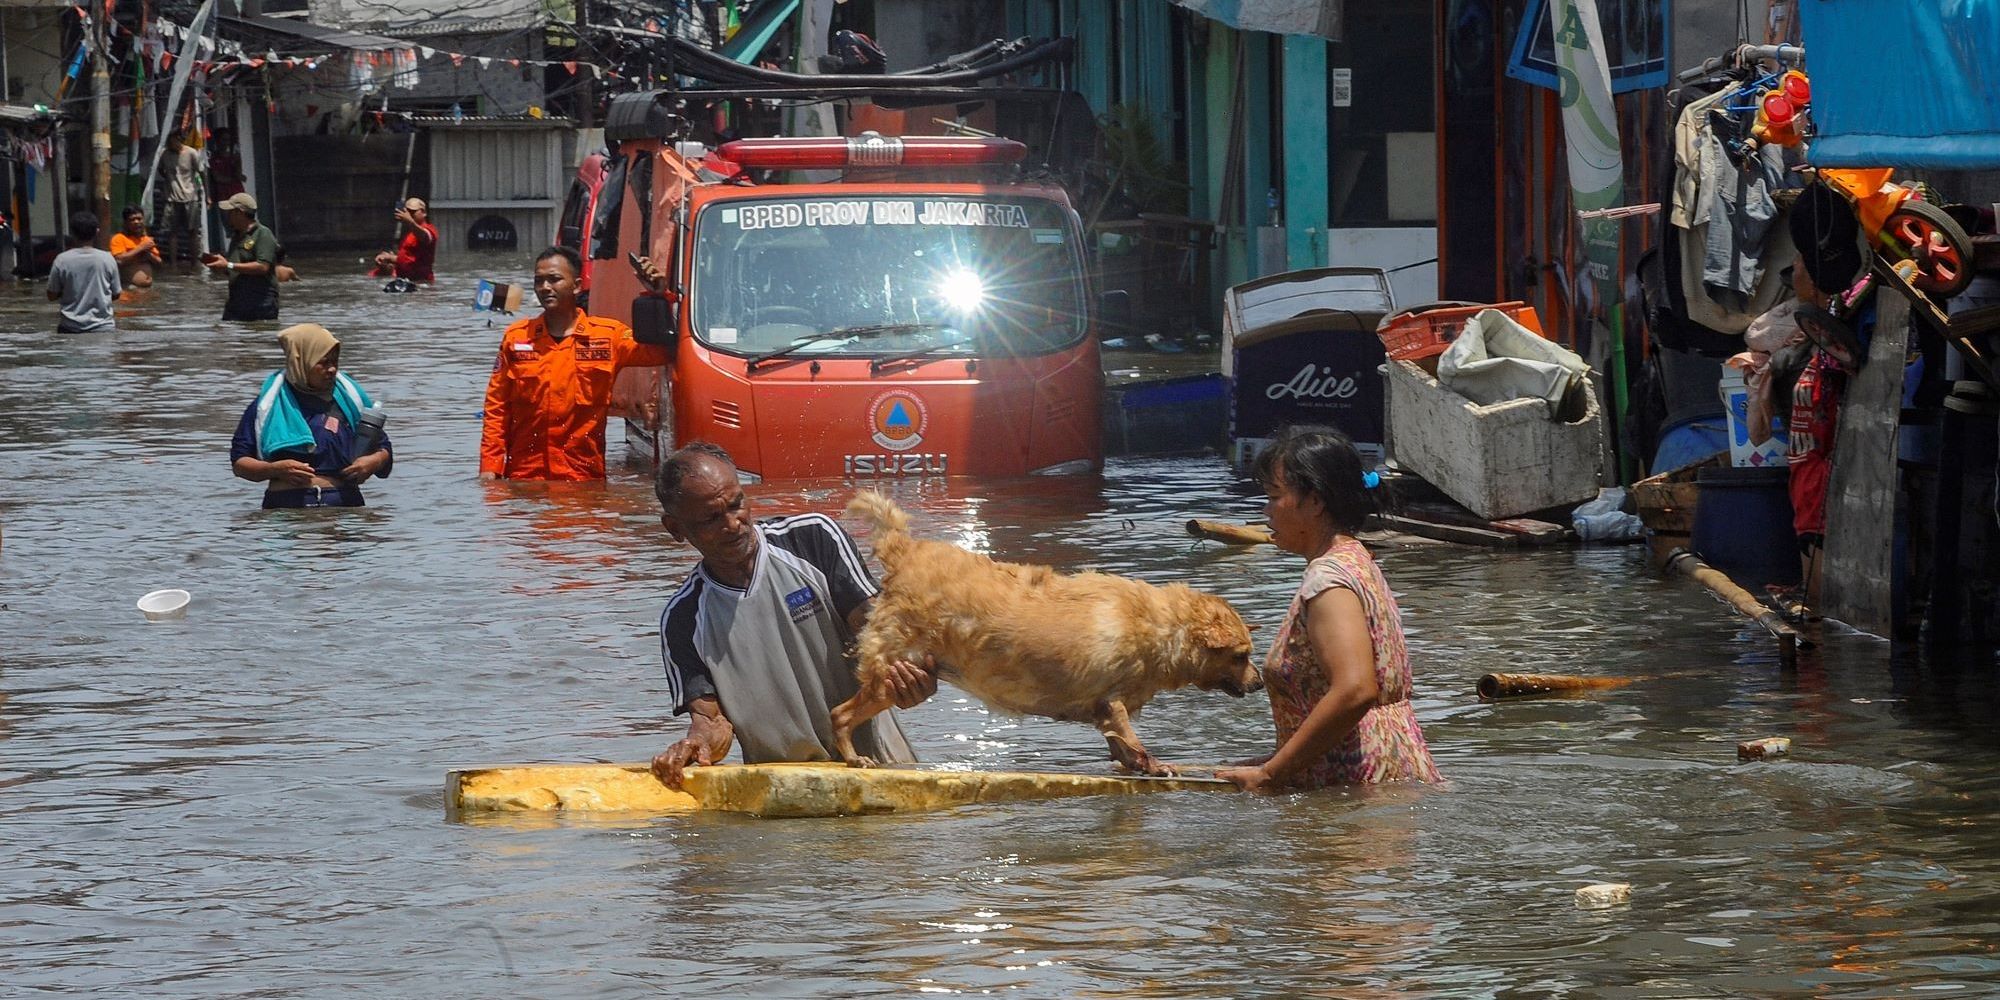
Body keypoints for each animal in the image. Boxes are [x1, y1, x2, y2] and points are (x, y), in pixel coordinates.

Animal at [836, 492, 1256, 772]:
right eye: (1242, 656)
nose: (1258, 682)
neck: (1161, 626)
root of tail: (905, 552)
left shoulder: (1104, 708)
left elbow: (1120, 742)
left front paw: (1134, 763)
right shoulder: (1112, 699)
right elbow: (1131, 736)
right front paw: (1152, 763)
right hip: (888, 675)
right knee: (840, 715)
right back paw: (854, 756)